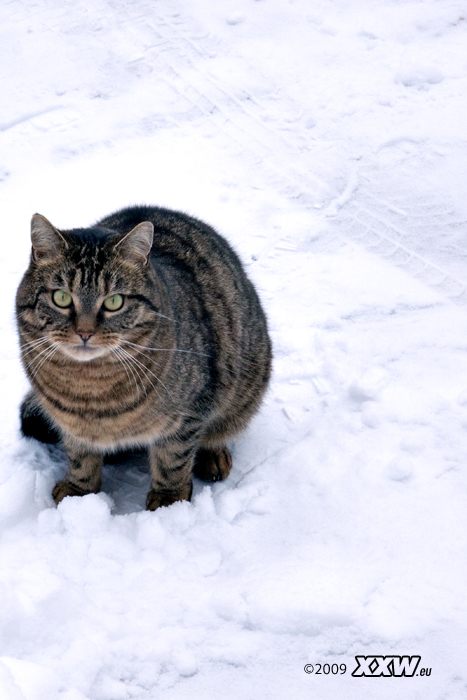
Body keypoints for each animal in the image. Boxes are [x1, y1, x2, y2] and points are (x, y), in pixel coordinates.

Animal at [16, 206, 272, 508]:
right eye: (61, 298)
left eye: (114, 302)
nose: (85, 332)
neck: (90, 389)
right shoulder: (69, 422)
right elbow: (79, 455)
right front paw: (79, 493)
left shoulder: (190, 411)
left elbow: (173, 458)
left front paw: (169, 500)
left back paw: (212, 456)